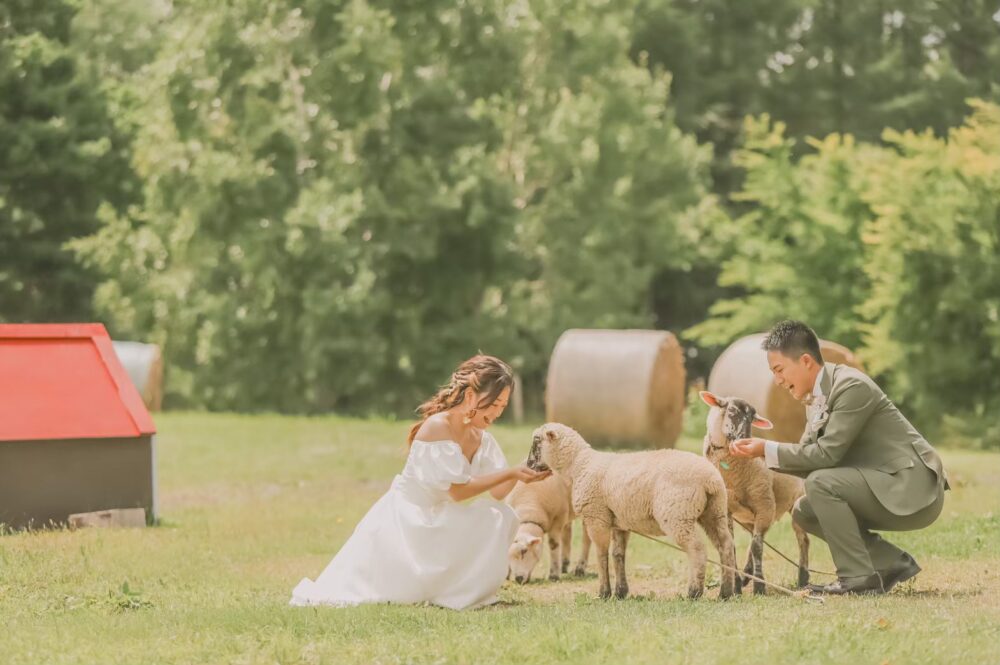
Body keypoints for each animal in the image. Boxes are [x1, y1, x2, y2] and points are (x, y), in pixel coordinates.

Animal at [524, 422, 736, 600]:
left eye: (537, 441)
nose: (528, 465)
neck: (578, 465)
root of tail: (710, 479)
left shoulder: (596, 518)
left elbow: (601, 555)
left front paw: (604, 593)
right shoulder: (619, 522)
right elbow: (618, 555)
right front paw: (620, 592)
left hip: (678, 515)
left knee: (697, 550)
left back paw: (694, 592)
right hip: (714, 512)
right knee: (726, 545)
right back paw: (725, 592)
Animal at [700, 390, 808, 592]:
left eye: (752, 417)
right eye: (732, 410)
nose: (745, 438)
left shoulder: (764, 504)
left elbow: (758, 547)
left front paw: (759, 585)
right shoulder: (727, 510)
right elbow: (735, 546)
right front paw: (736, 586)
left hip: (796, 503)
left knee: (802, 541)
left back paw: (803, 578)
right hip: (750, 517)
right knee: (754, 539)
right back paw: (745, 577)